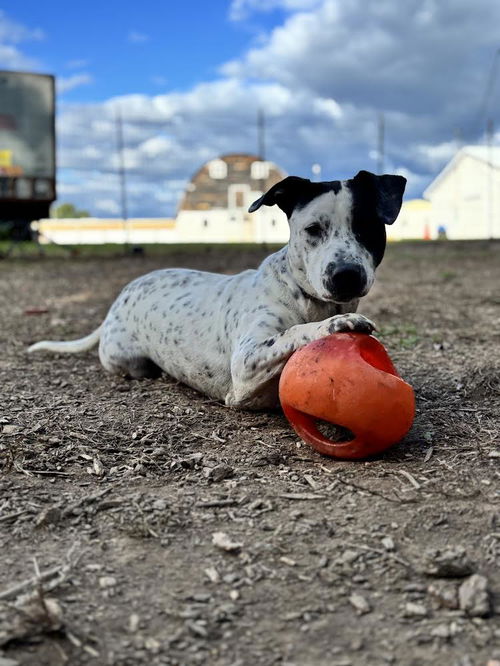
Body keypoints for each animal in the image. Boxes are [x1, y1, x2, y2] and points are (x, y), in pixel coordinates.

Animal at [29, 169, 406, 408]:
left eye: (368, 227)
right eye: (313, 229)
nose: (346, 275)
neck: (306, 298)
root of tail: (121, 296)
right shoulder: (247, 361)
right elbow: (293, 332)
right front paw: (336, 325)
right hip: (123, 357)